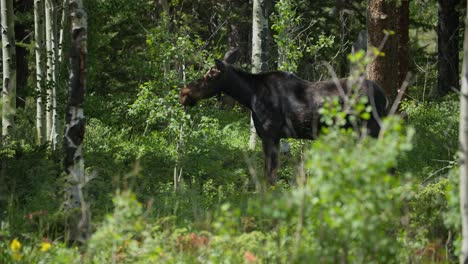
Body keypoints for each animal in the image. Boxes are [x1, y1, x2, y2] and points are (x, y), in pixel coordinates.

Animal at [179, 50, 388, 186]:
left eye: (209, 76)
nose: (183, 93)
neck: (249, 96)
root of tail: (384, 96)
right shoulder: (274, 137)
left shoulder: (270, 135)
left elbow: (269, 175)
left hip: (371, 130)